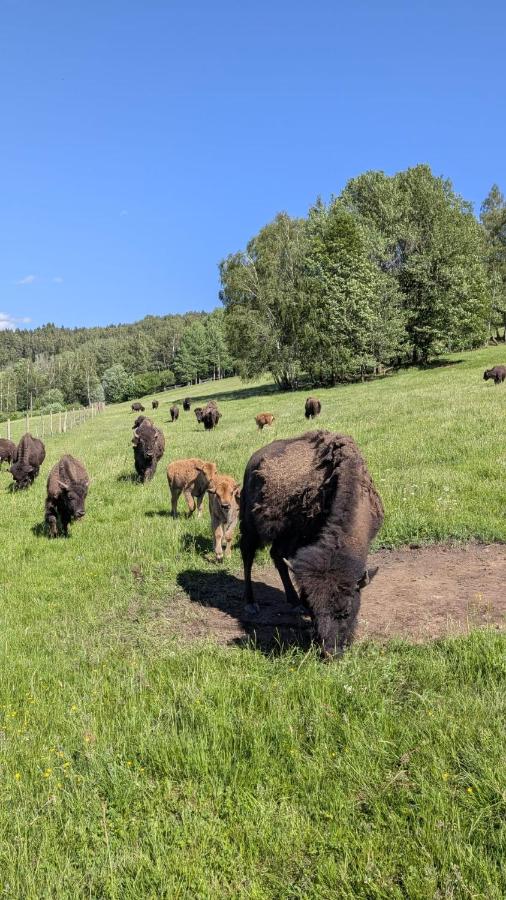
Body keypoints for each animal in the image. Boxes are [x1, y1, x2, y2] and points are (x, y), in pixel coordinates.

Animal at [240, 430, 383, 656]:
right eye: (314, 610)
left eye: (346, 611)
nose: (329, 652)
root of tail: (253, 460)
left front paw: (299, 602)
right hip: (251, 526)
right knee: (247, 556)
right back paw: (251, 603)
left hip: (284, 534)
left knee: (277, 556)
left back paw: (292, 600)